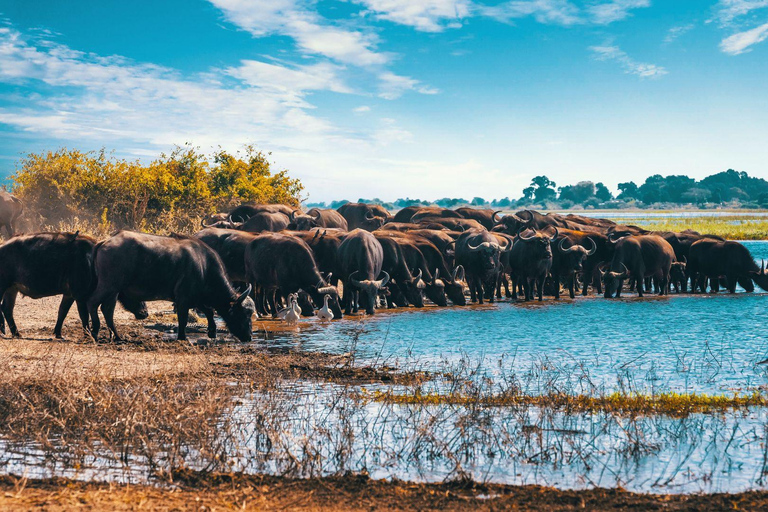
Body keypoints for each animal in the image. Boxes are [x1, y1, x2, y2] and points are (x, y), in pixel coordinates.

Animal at [89, 234, 252, 342]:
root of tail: (104, 242)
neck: (204, 266)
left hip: (114, 291)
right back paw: (95, 332)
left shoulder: (196, 298)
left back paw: (117, 336)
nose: (249, 336)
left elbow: (209, 311)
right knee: (92, 303)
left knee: (107, 310)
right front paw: (183, 337)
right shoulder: (183, 299)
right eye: (243, 314)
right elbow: (183, 319)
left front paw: (212, 332)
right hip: (108, 286)